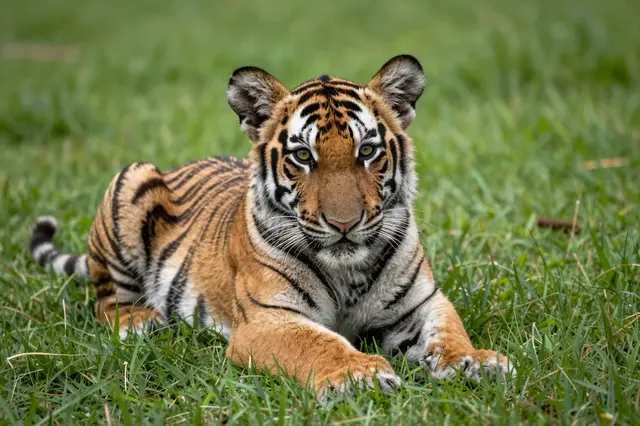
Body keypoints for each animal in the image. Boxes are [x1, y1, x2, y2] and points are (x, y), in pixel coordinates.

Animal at [29, 55, 514, 397]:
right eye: (302, 155)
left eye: (367, 151)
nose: (344, 223)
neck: (347, 270)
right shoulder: (267, 320)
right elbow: (319, 343)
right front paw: (360, 374)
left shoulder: (423, 303)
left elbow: (448, 333)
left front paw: (476, 362)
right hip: (132, 177)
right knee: (106, 303)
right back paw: (141, 322)